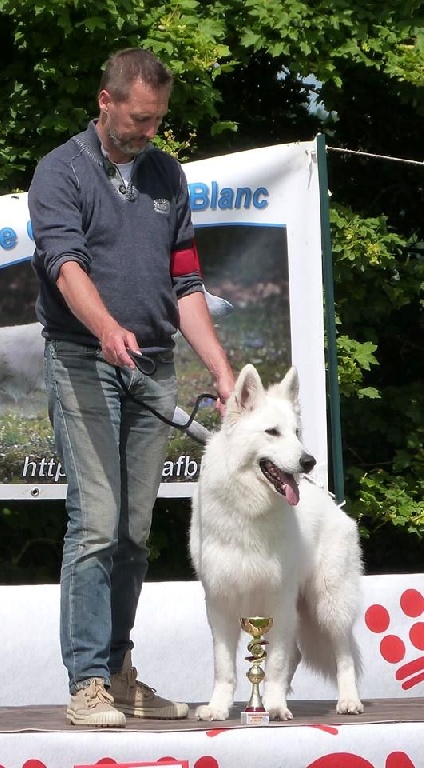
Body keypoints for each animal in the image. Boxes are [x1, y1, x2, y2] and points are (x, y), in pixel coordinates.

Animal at [190, 364, 362, 720]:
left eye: (296, 432)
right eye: (272, 432)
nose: (309, 461)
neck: (249, 509)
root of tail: (335, 505)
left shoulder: (279, 601)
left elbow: (277, 662)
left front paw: (272, 706)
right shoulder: (219, 603)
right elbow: (225, 666)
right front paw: (219, 707)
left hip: (329, 605)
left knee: (343, 654)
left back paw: (349, 701)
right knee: (296, 655)